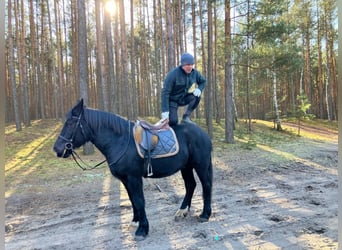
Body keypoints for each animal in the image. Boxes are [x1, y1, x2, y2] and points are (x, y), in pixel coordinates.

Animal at [52, 99, 212, 240]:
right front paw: (136, 221)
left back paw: (205, 214)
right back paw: (182, 211)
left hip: (201, 164)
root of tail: (202, 132)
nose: (57, 148)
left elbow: (139, 200)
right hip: (186, 166)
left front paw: (142, 230)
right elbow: (132, 199)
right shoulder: (124, 179)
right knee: (190, 185)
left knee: (206, 185)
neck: (120, 141)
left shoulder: (133, 178)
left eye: (71, 123)